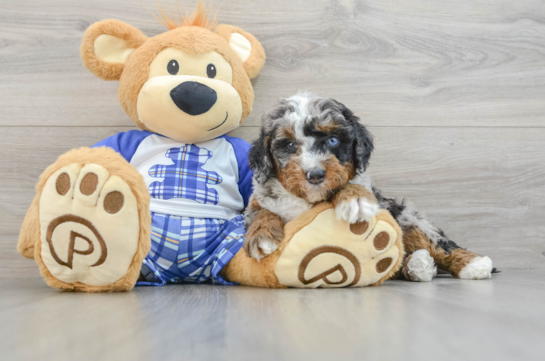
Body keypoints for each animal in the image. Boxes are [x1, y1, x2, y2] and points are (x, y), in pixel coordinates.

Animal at [242, 93, 492, 282]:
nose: (315, 175)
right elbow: (261, 211)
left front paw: (356, 200)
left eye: (333, 140)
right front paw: (262, 236)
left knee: (437, 243)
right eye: (289, 145)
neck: (309, 199)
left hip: (408, 217)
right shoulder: (259, 199)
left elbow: (351, 184)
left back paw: (472, 264)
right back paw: (418, 264)